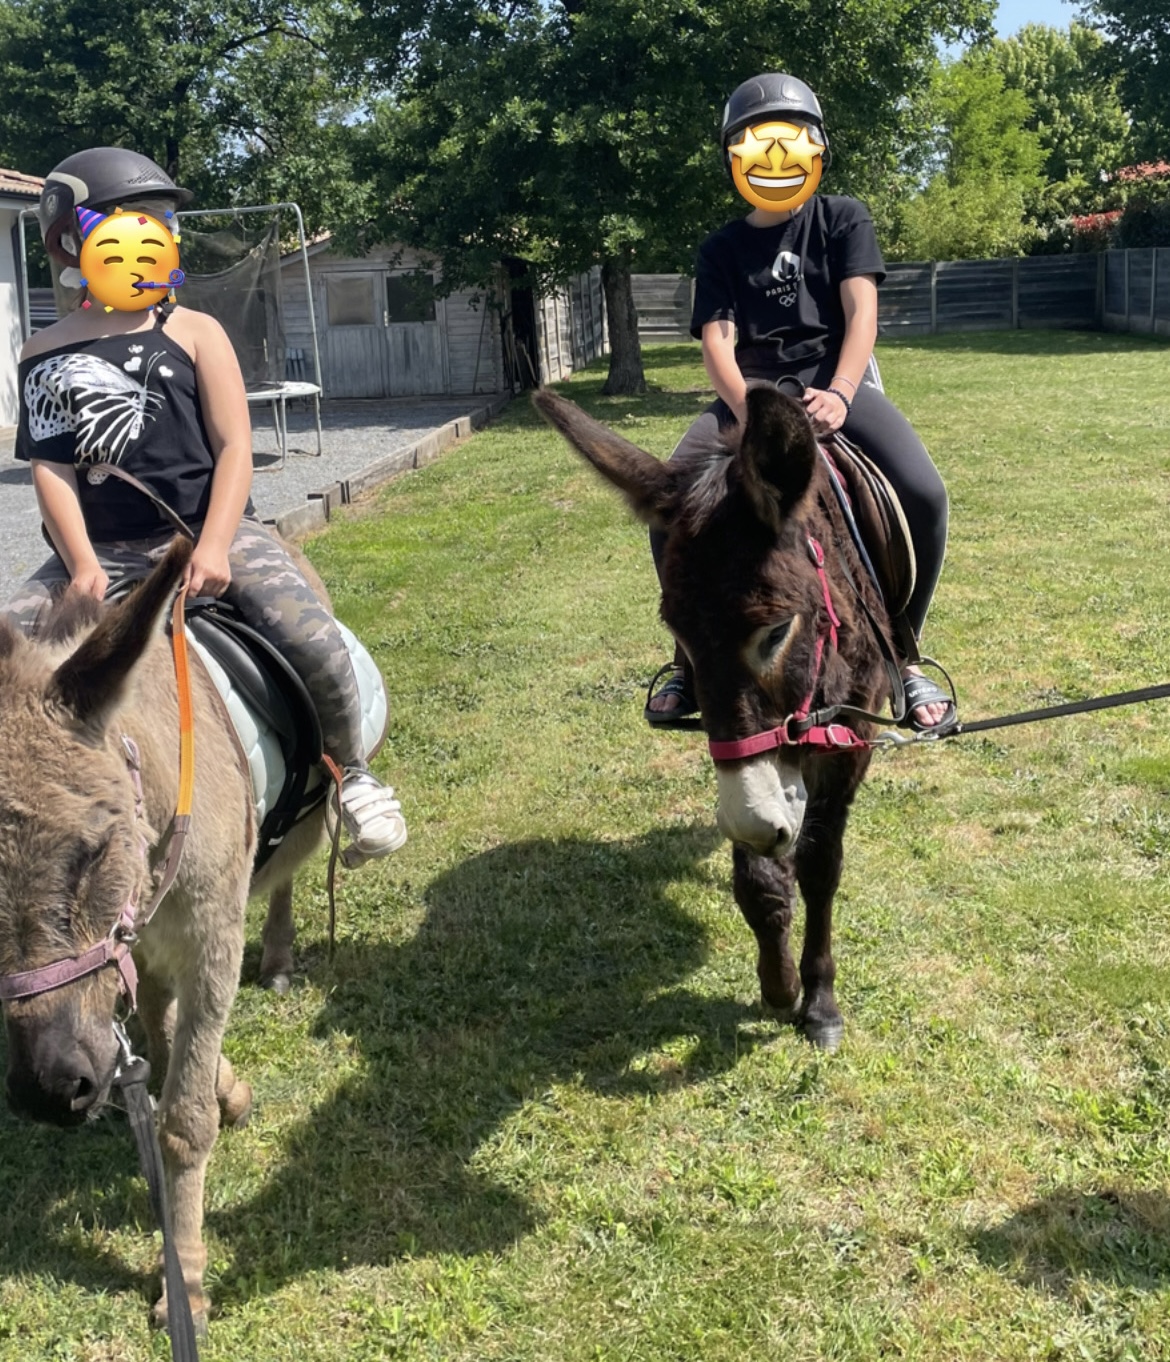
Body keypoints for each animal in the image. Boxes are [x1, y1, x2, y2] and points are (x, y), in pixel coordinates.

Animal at [0, 536, 329, 1331]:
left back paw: (279, 955)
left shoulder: (211, 937)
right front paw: (225, 1085)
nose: (48, 1092)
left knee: (289, 867)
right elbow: (161, 1028)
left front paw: (186, 1276)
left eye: (92, 851)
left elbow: (183, 1119)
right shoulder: (142, 948)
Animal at [535, 382, 900, 1050]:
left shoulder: (850, 739)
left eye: (777, 631)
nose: (761, 823)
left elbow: (819, 865)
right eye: (679, 634)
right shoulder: (742, 762)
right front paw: (779, 986)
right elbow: (759, 874)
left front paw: (820, 1002)